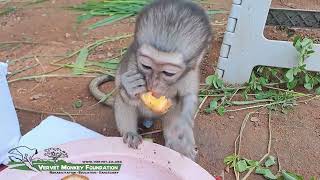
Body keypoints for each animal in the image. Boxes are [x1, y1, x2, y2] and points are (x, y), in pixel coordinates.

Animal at [89, 0, 212, 160]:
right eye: (146, 66)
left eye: (168, 73)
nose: (153, 83)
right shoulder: (132, 63)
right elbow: (126, 94)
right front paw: (130, 86)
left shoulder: (191, 72)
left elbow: (188, 97)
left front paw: (184, 126)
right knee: (122, 102)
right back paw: (130, 133)